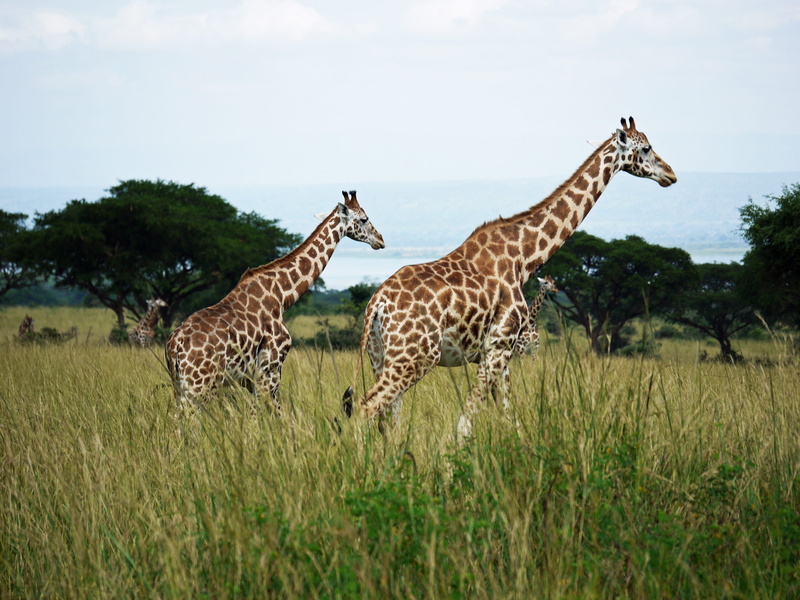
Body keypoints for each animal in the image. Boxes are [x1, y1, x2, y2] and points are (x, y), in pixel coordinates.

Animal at [166, 191, 385, 414]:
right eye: (364, 219)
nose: (380, 240)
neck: (281, 295)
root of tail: (175, 345)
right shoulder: (271, 368)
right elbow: (276, 413)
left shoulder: (252, 378)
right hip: (199, 384)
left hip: (181, 386)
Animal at [343, 117, 676, 438]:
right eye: (645, 148)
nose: (671, 174)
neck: (523, 258)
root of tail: (378, 304)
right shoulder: (498, 347)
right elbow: (465, 425)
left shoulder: (500, 355)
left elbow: (508, 418)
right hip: (415, 356)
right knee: (365, 407)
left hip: (380, 356)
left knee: (388, 418)